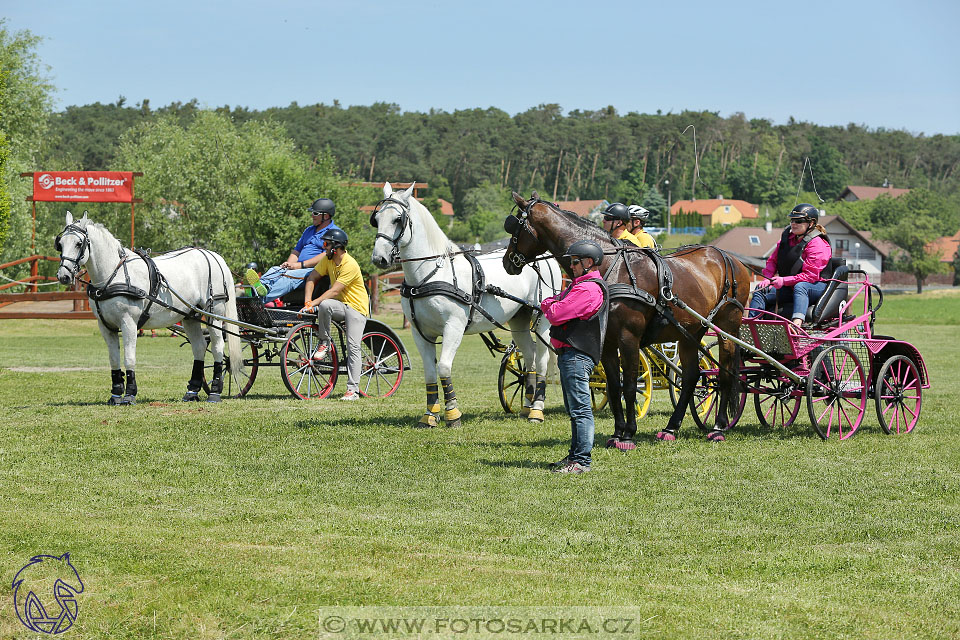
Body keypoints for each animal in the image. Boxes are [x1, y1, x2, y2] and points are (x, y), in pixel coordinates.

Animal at [55, 212, 242, 402]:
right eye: (60, 244)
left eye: (79, 244)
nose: (63, 276)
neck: (113, 275)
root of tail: (213, 255)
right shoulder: (106, 326)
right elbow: (114, 359)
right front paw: (116, 394)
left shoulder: (129, 323)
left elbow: (129, 358)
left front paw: (129, 394)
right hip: (190, 316)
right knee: (199, 347)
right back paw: (192, 391)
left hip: (214, 313)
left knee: (218, 347)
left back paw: (215, 391)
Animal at [370, 182, 564, 428]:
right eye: (376, 219)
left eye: (397, 219)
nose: (379, 259)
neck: (430, 275)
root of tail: (546, 256)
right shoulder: (420, 332)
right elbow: (430, 372)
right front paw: (429, 416)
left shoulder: (454, 326)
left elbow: (443, 366)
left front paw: (453, 414)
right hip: (519, 318)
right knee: (528, 354)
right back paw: (526, 405)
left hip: (542, 319)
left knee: (541, 358)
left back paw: (537, 410)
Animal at [502, 191, 752, 440]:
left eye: (514, 227)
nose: (507, 262)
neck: (611, 267)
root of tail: (729, 258)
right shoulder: (607, 342)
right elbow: (614, 386)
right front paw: (617, 432)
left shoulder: (628, 338)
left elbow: (630, 384)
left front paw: (629, 432)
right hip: (690, 333)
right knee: (691, 376)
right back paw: (671, 427)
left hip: (727, 328)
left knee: (724, 374)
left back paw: (718, 426)